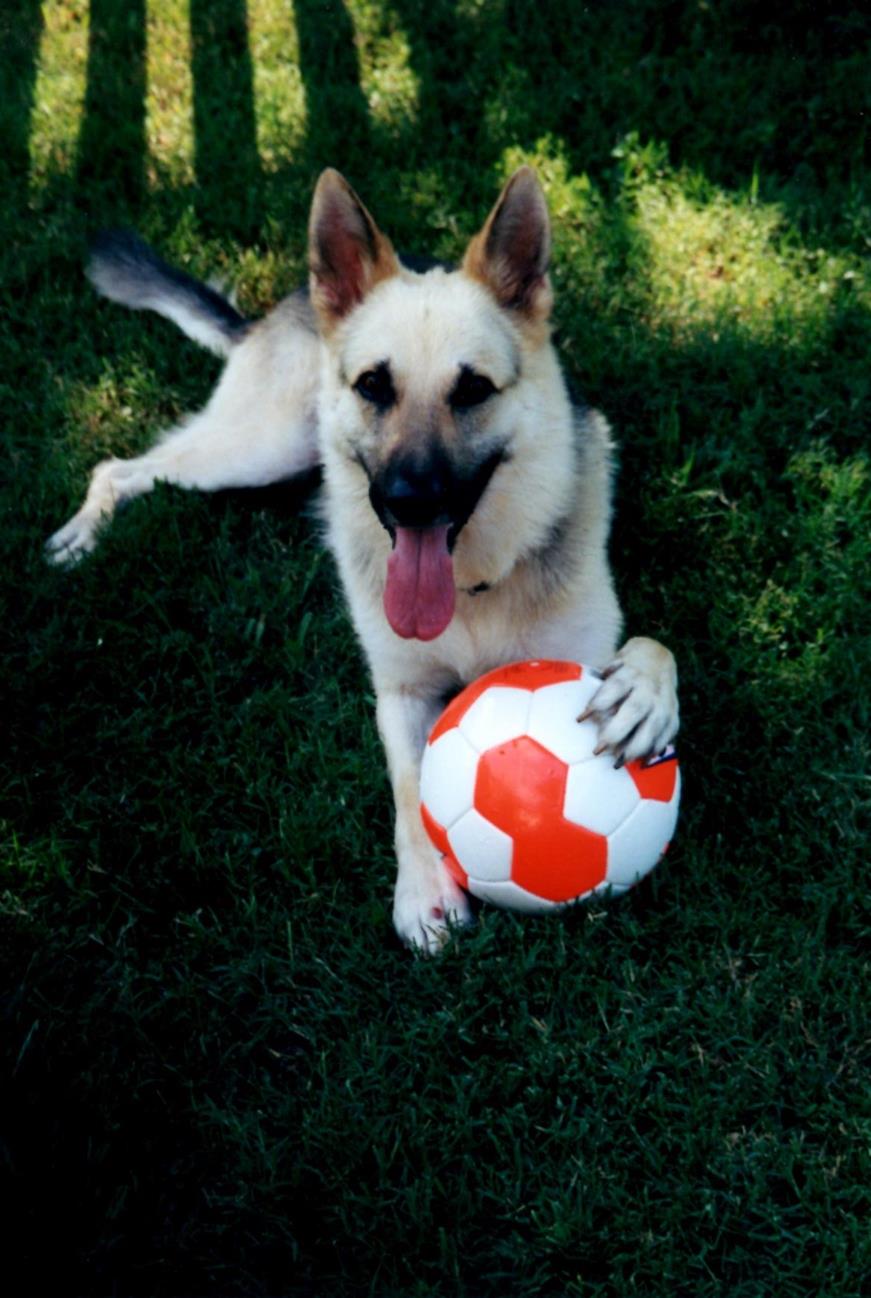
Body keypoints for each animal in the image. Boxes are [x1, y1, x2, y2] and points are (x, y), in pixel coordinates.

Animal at [46, 167, 680, 950]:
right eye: (375, 384)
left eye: (473, 389)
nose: (408, 501)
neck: (470, 587)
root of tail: (284, 306)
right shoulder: (400, 694)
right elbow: (410, 784)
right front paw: (423, 891)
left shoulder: (581, 654)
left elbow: (654, 648)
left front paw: (643, 695)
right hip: (262, 447)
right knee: (116, 468)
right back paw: (83, 533)